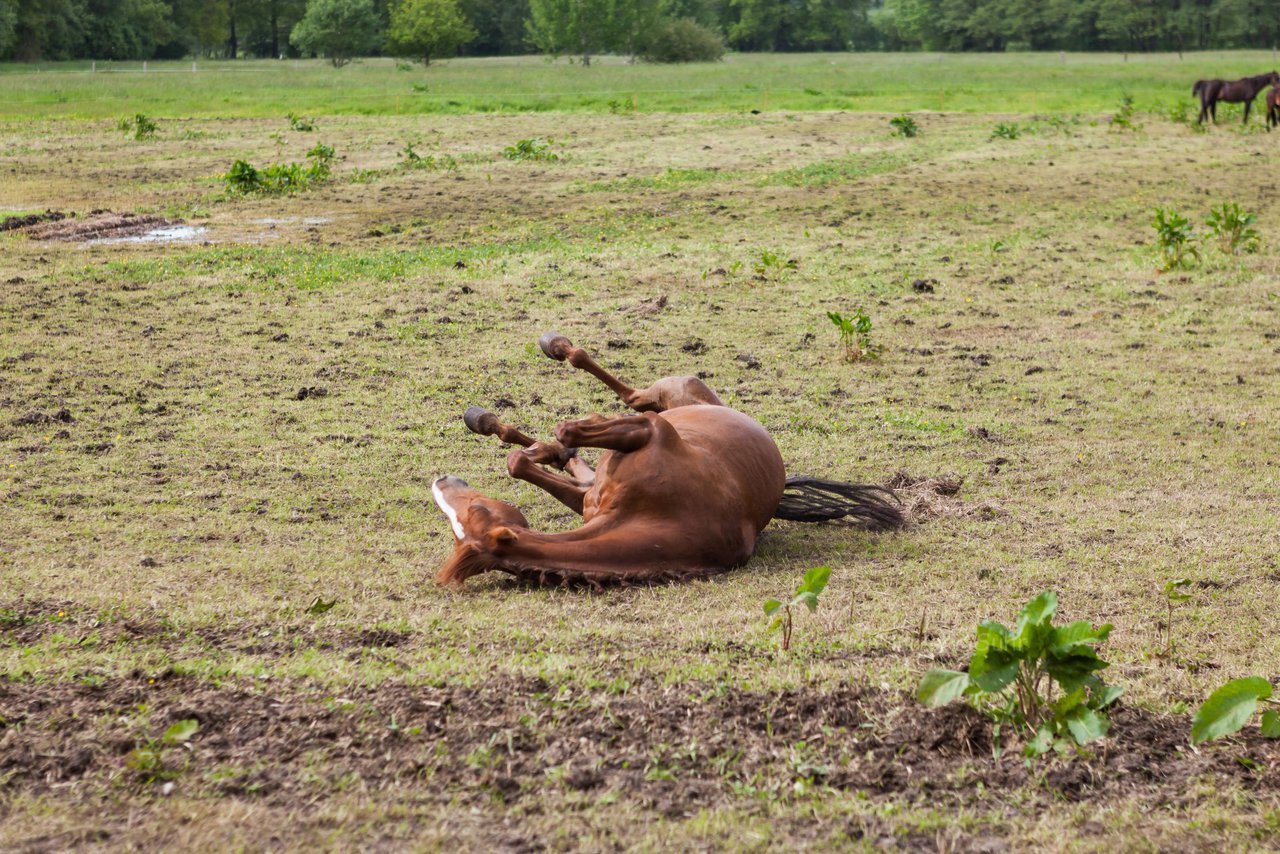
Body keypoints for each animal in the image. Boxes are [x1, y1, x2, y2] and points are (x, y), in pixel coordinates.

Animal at [430, 332, 901, 588]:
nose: (442, 482)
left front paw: (552, 436)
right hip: (606, 470)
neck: (655, 513)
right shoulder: (595, 496)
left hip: (673, 393)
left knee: (629, 395)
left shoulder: (652, 431)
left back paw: (555, 349)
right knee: (577, 462)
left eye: (476, 510)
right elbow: (526, 460)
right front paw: (535, 445)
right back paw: (505, 425)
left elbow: (564, 430)